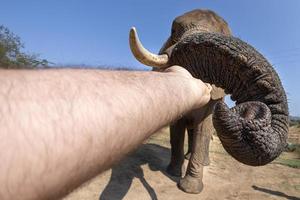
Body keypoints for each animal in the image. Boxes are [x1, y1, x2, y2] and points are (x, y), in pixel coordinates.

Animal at [127, 9, 290, 194]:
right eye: (173, 32)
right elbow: (177, 129)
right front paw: (173, 173)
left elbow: (204, 129)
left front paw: (190, 189)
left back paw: (203, 162)